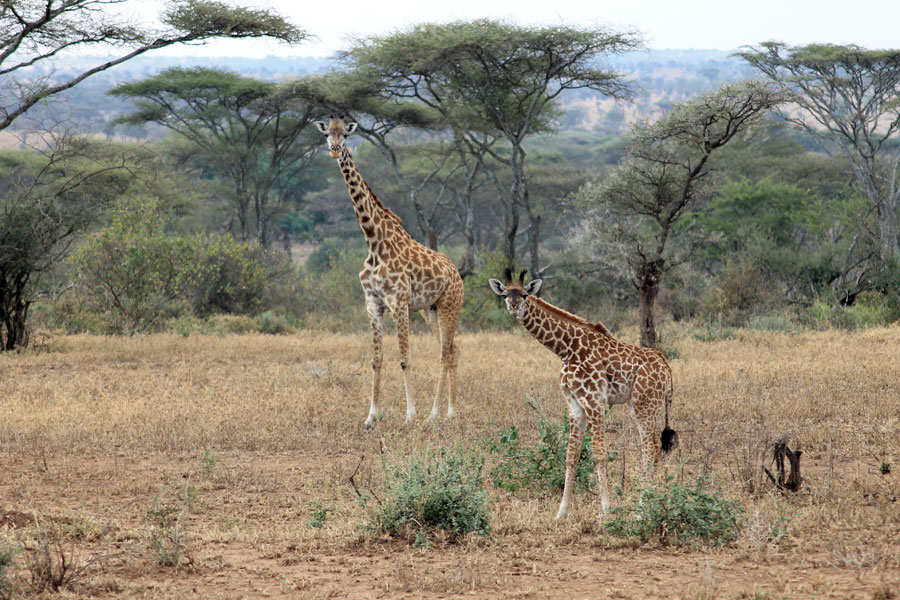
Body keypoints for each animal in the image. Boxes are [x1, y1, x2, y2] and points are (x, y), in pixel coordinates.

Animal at [312, 115, 464, 428]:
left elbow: (405, 357)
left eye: (346, 134)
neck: (373, 240)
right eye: (327, 134)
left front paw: (410, 415)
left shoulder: (398, 303)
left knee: (444, 354)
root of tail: (457, 273)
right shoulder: (373, 303)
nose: (334, 150)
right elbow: (377, 359)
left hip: (449, 305)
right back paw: (451, 412)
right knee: (452, 350)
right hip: (430, 310)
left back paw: (433, 415)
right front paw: (371, 417)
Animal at [492, 270, 676, 516]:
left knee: (650, 449)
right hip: (642, 405)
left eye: (523, 295)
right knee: (653, 448)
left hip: (645, 404)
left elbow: (599, 453)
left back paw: (641, 510)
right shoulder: (574, 404)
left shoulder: (594, 400)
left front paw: (606, 509)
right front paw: (561, 512)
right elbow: (571, 455)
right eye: (504, 295)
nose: (513, 308)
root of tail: (667, 369)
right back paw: (650, 502)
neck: (567, 350)